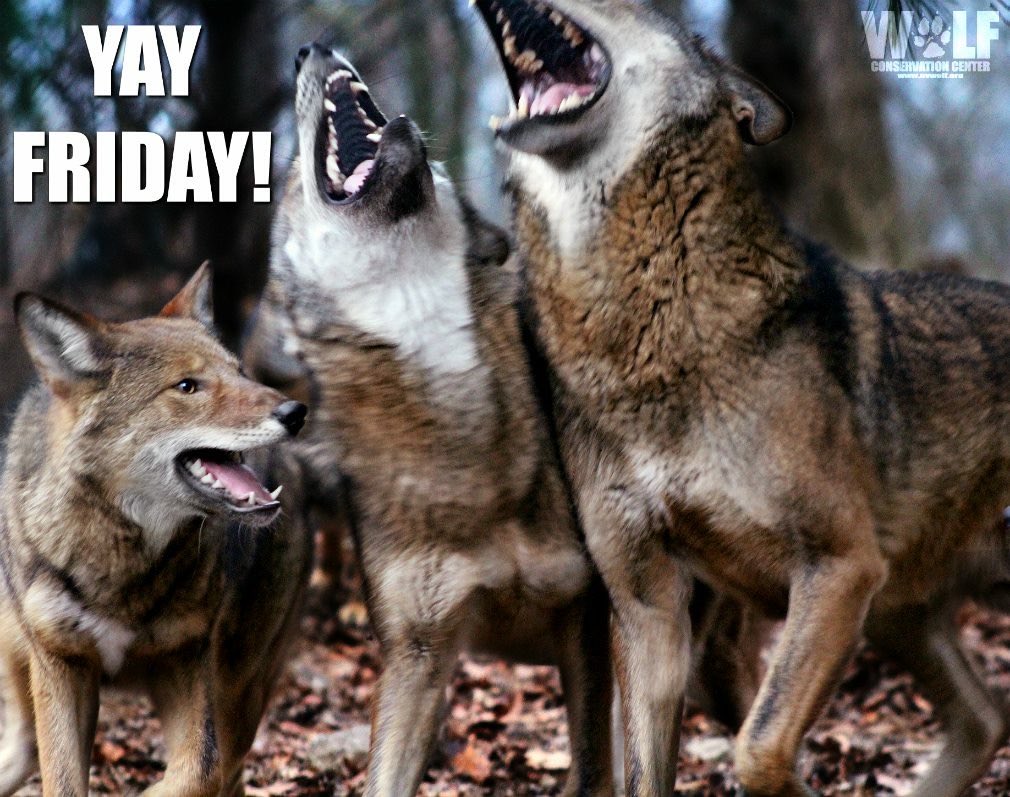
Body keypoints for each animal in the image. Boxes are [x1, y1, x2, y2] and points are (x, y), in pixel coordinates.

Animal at [0, 264, 311, 796]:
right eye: (187, 386)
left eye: (239, 372)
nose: (294, 414)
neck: (120, 560)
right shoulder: (61, 665)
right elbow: (62, 780)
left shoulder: (186, 661)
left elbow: (199, 772)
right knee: (22, 747)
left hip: (240, 696)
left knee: (231, 772)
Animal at [473, 1, 1010, 795]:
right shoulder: (650, 608)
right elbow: (646, 772)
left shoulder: (839, 566)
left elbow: (759, 745)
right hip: (895, 616)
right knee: (984, 716)